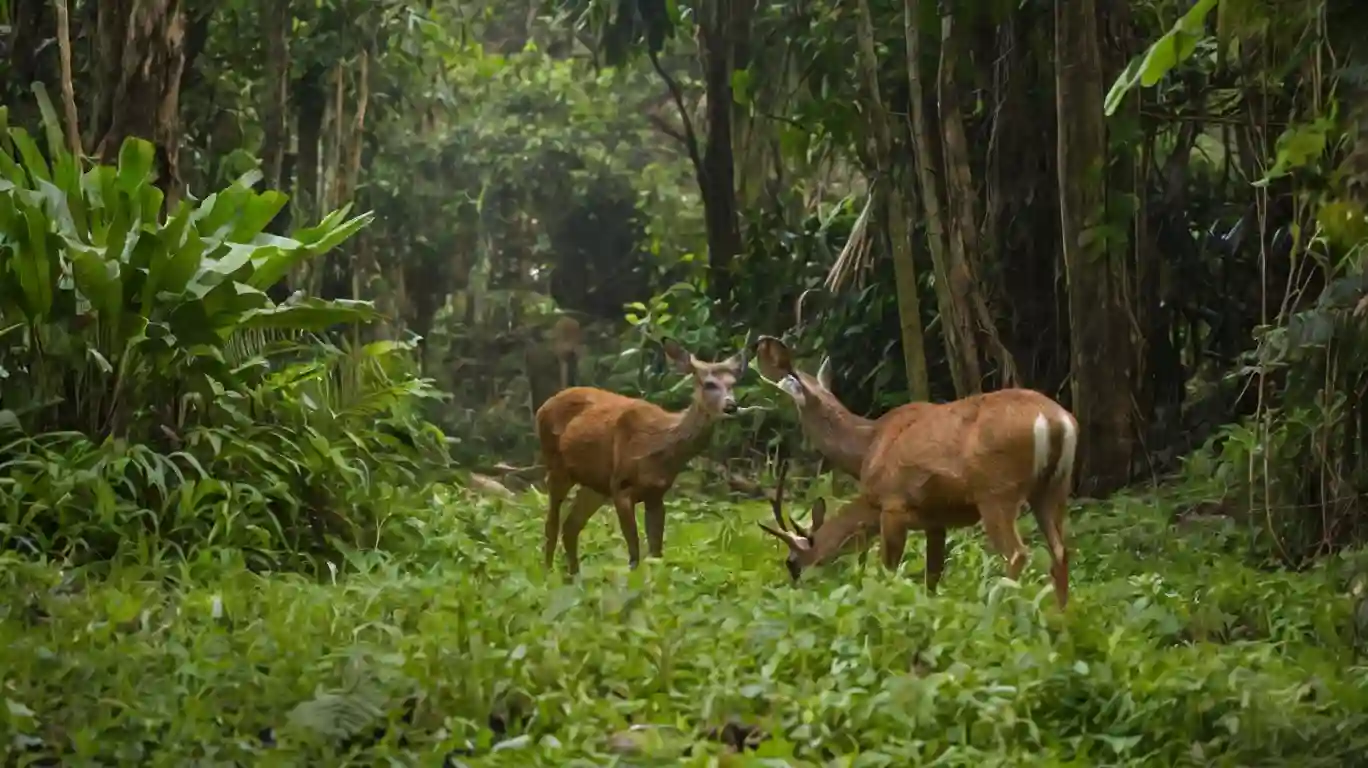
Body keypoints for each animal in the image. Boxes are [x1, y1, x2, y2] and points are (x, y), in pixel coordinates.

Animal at [536, 335, 755, 574]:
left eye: (733, 384)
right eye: (709, 384)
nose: (731, 406)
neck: (660, 447)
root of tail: (543, 406)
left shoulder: (656, 493)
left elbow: (655, 553)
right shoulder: (621, 487)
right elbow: (634, 553)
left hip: (595, 485)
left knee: (570, 526)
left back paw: (573, 576)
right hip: (556, 466)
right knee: (551, 523)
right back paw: (547, 572)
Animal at [760, 386, 1077, 607]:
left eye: (792, 563)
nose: (795, 593)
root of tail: (1055, 420)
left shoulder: (893, 506)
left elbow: (888, 569)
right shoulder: (936, 520)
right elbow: (932, 576)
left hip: (997, 492)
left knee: (1017, 553)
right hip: (1054, 488)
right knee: (1061, 552)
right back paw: (1061, 618)